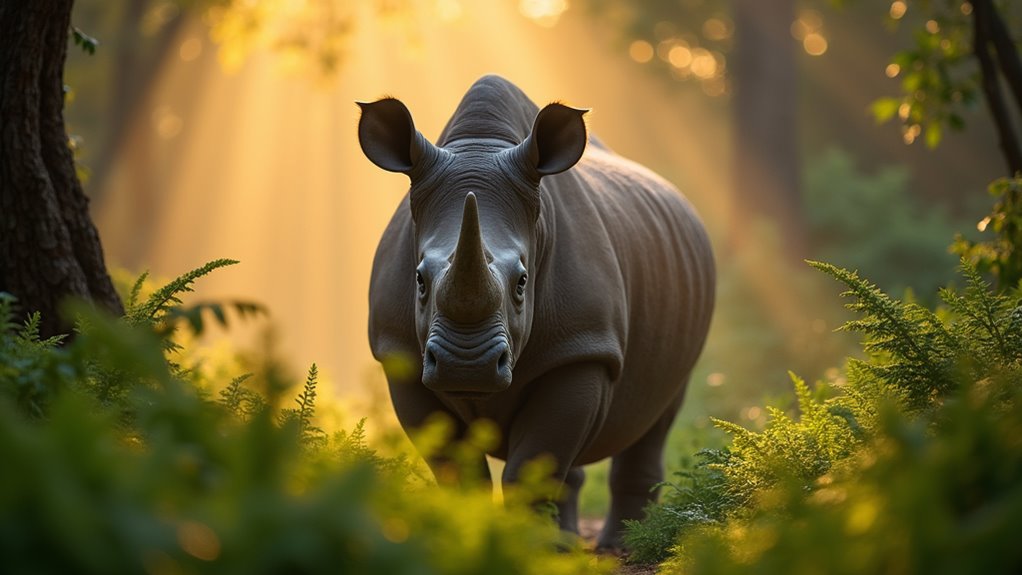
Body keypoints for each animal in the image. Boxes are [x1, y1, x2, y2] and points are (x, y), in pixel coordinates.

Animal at [358, 75, 715, 548]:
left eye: (523, 282)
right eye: (418, 280)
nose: (466, 365)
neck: (481, 146)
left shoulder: (582, 347)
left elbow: (531, 467)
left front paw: (526, 551)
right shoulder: (398, 353)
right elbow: (460, 471)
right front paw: (469, 540)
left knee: (658, 414)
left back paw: (615, 546)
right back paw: (567, 543)